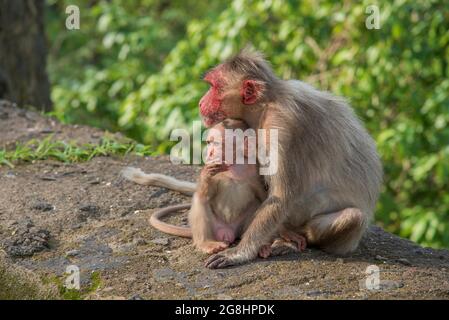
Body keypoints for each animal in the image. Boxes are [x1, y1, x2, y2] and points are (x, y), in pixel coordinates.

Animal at [200, 47, 382, 268]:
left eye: (214, 87)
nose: (201, 102)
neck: (265, 105)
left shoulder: (280, 124)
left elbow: (281, 196)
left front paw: (239, 253)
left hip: (346, 239)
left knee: (353, 217)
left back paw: (294, 240)